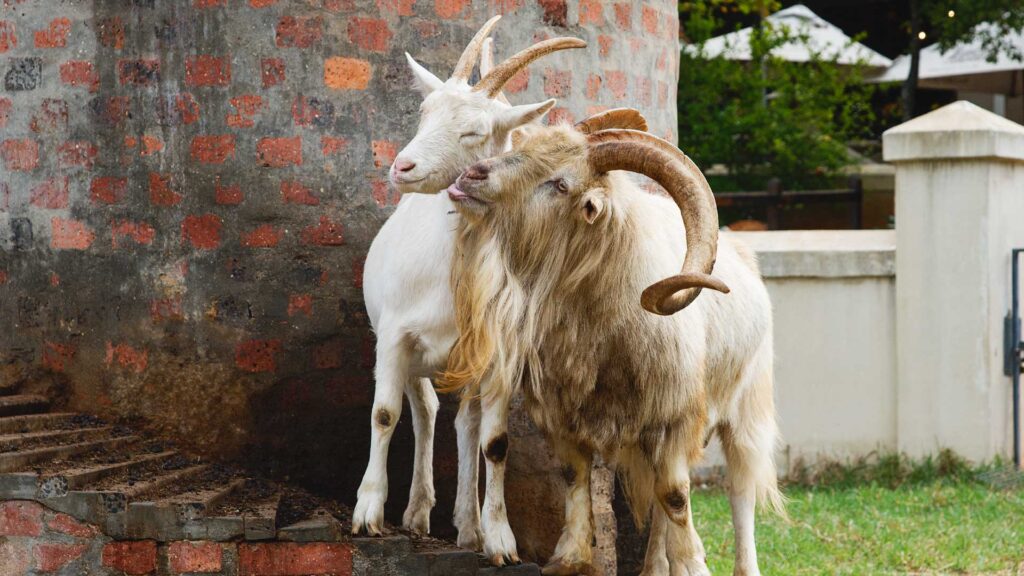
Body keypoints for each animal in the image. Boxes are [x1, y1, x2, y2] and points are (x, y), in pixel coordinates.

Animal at [356, 16, 589, 557]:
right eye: (424, 113)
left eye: (476, 131)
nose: (402, 167)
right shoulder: (394, 336)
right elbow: (384, 413)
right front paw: (368, 513)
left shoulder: (499, 354)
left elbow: (495, 441)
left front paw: (498, 537)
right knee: (424, 410)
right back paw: (418, 513)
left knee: (465, 422)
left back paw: (466, 524)